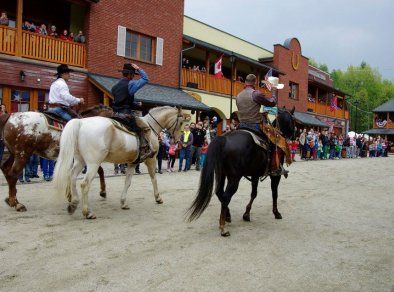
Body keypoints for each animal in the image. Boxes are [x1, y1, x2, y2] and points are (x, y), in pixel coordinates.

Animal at [53, 106, 188, 218]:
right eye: (181, 123)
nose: (176, 141)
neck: (151, 126)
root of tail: (81, 122)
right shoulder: (151, 159)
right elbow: (153, 178)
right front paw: (158, 197)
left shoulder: (132, 163)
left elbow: (127, 182)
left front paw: (123, 202)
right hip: (93, 163)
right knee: (84, 184)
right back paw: (87, 212)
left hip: (80, 161)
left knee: (72, 177)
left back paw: (73, 203)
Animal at [188, 108, 296, 236]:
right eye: (293, 121)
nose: (294, 135)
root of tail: (224, 138)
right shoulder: (275, 175)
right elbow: (274, 193)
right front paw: (276, 213)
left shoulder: (255, 175)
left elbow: (254, 193)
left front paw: (246, 214)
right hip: (234, 178)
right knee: (226, 197)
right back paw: (223, 227)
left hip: (221, 174)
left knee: (220, 193)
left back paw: (227, 216)